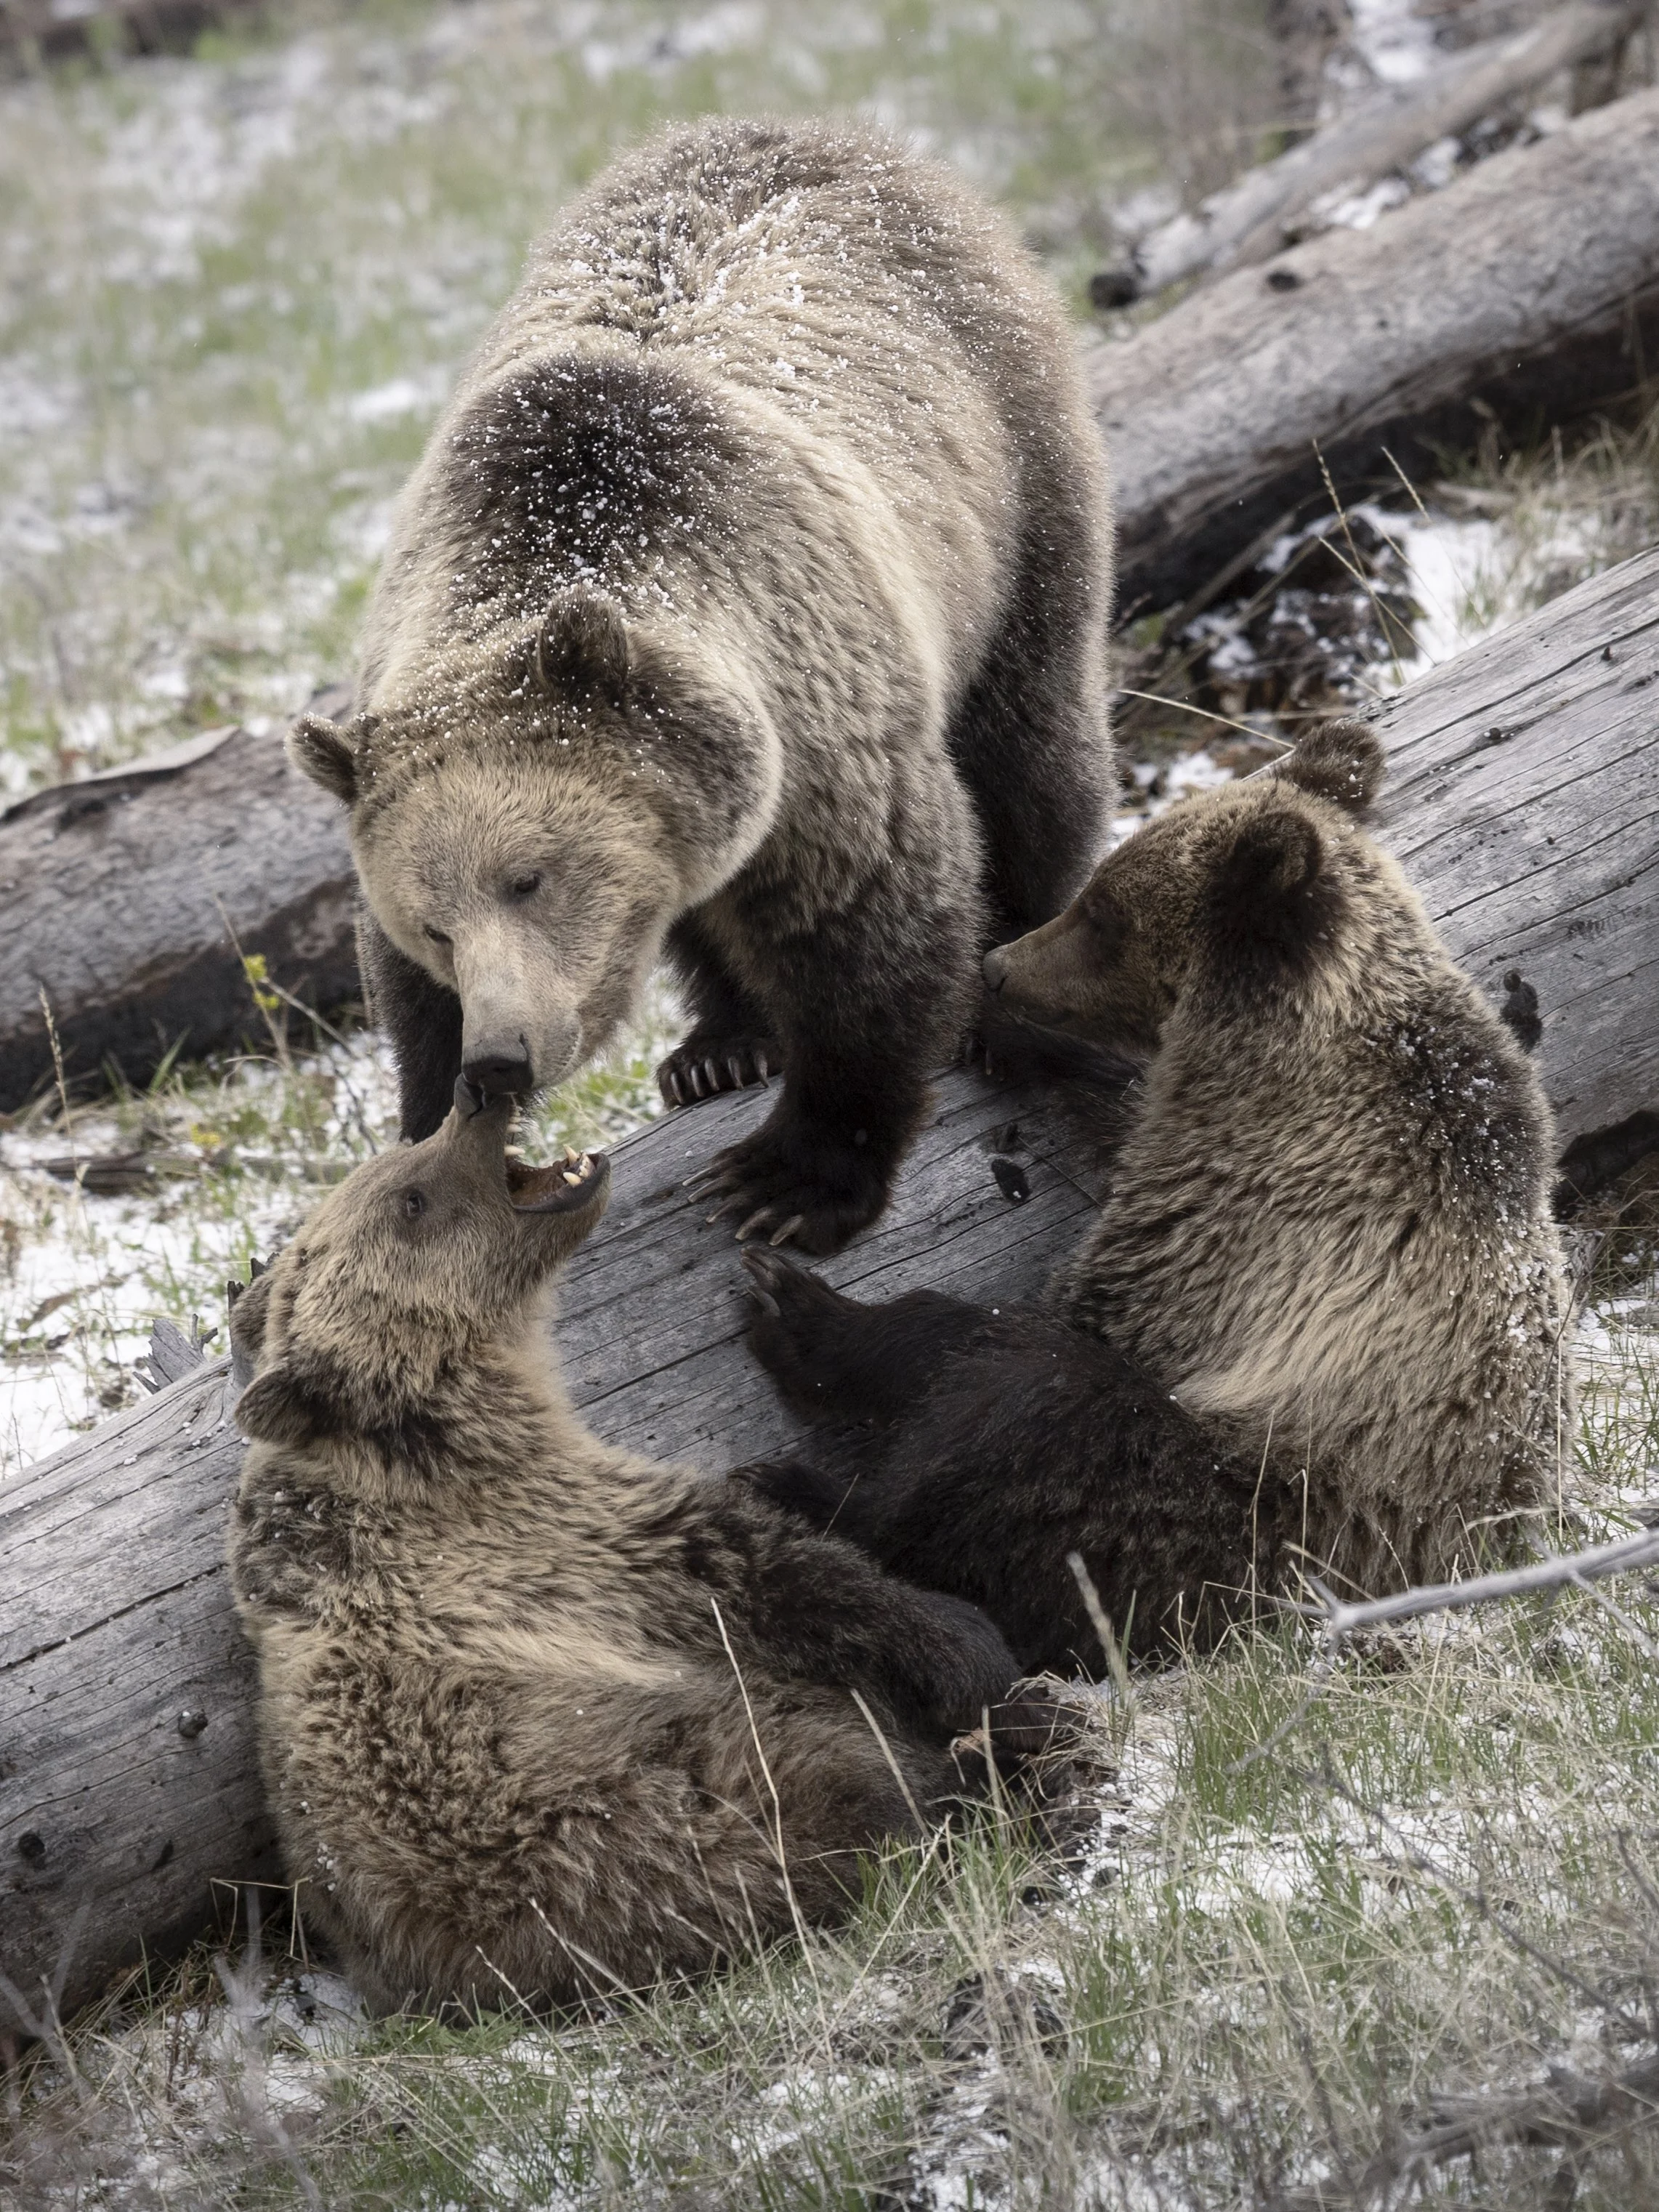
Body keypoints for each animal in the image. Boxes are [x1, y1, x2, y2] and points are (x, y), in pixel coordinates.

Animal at [225, 1078, 1071, 2015]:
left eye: (400, 1157)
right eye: (409, 1197)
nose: (474, 1098)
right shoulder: (570, 1539)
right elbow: (785, 1576)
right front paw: (975, 1652)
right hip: (681, 1799)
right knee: (849, 1781)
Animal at [285, 116, 1115, 1257]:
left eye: (529, 877)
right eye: (432, 921)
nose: (500, 1057)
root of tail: (825, 133)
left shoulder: (816, 710)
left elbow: (871, 919)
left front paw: (795, 1177)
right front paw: (428, 1143)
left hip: (1010, 478)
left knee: (1030, 741)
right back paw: (719, 1043)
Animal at [735, 720, 1574, 1671]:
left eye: (1104, 909)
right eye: (1097, 885)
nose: (996, 965)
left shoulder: (1242, 1215)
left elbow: (1042, 1321)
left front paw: (801, 1302)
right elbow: (1119, 1099)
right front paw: (1001, 1034)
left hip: (1251, 1513)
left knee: (1031, 1418)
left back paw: (797, 1482)